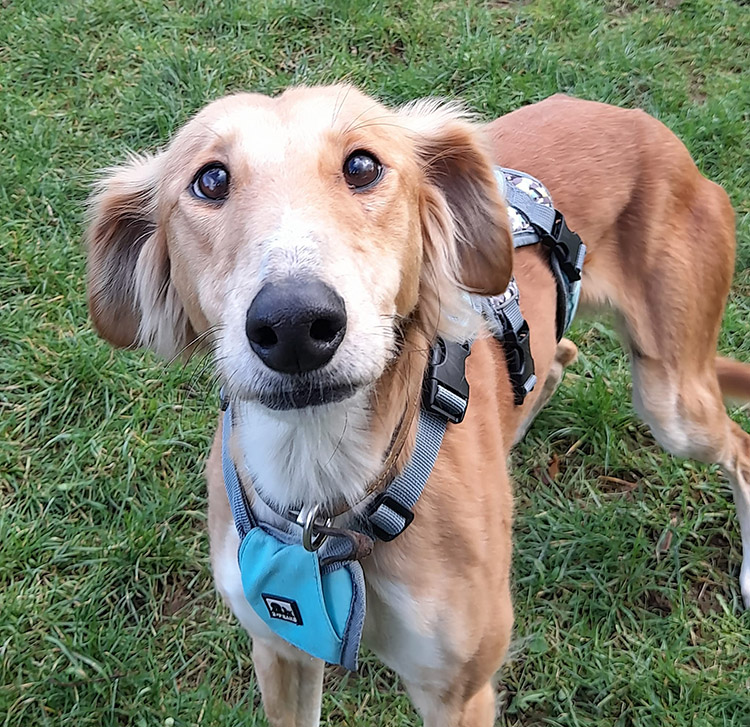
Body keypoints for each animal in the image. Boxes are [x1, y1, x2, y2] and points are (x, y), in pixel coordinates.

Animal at [85, 86, 750, 727]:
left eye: (362, 165)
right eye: (211, 180)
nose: (295, 324)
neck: (323, 497)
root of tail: (645, 125)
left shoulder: (458, 692)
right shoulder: (280, 650)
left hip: (673, 402)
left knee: (738, 445)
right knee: (560, 353)